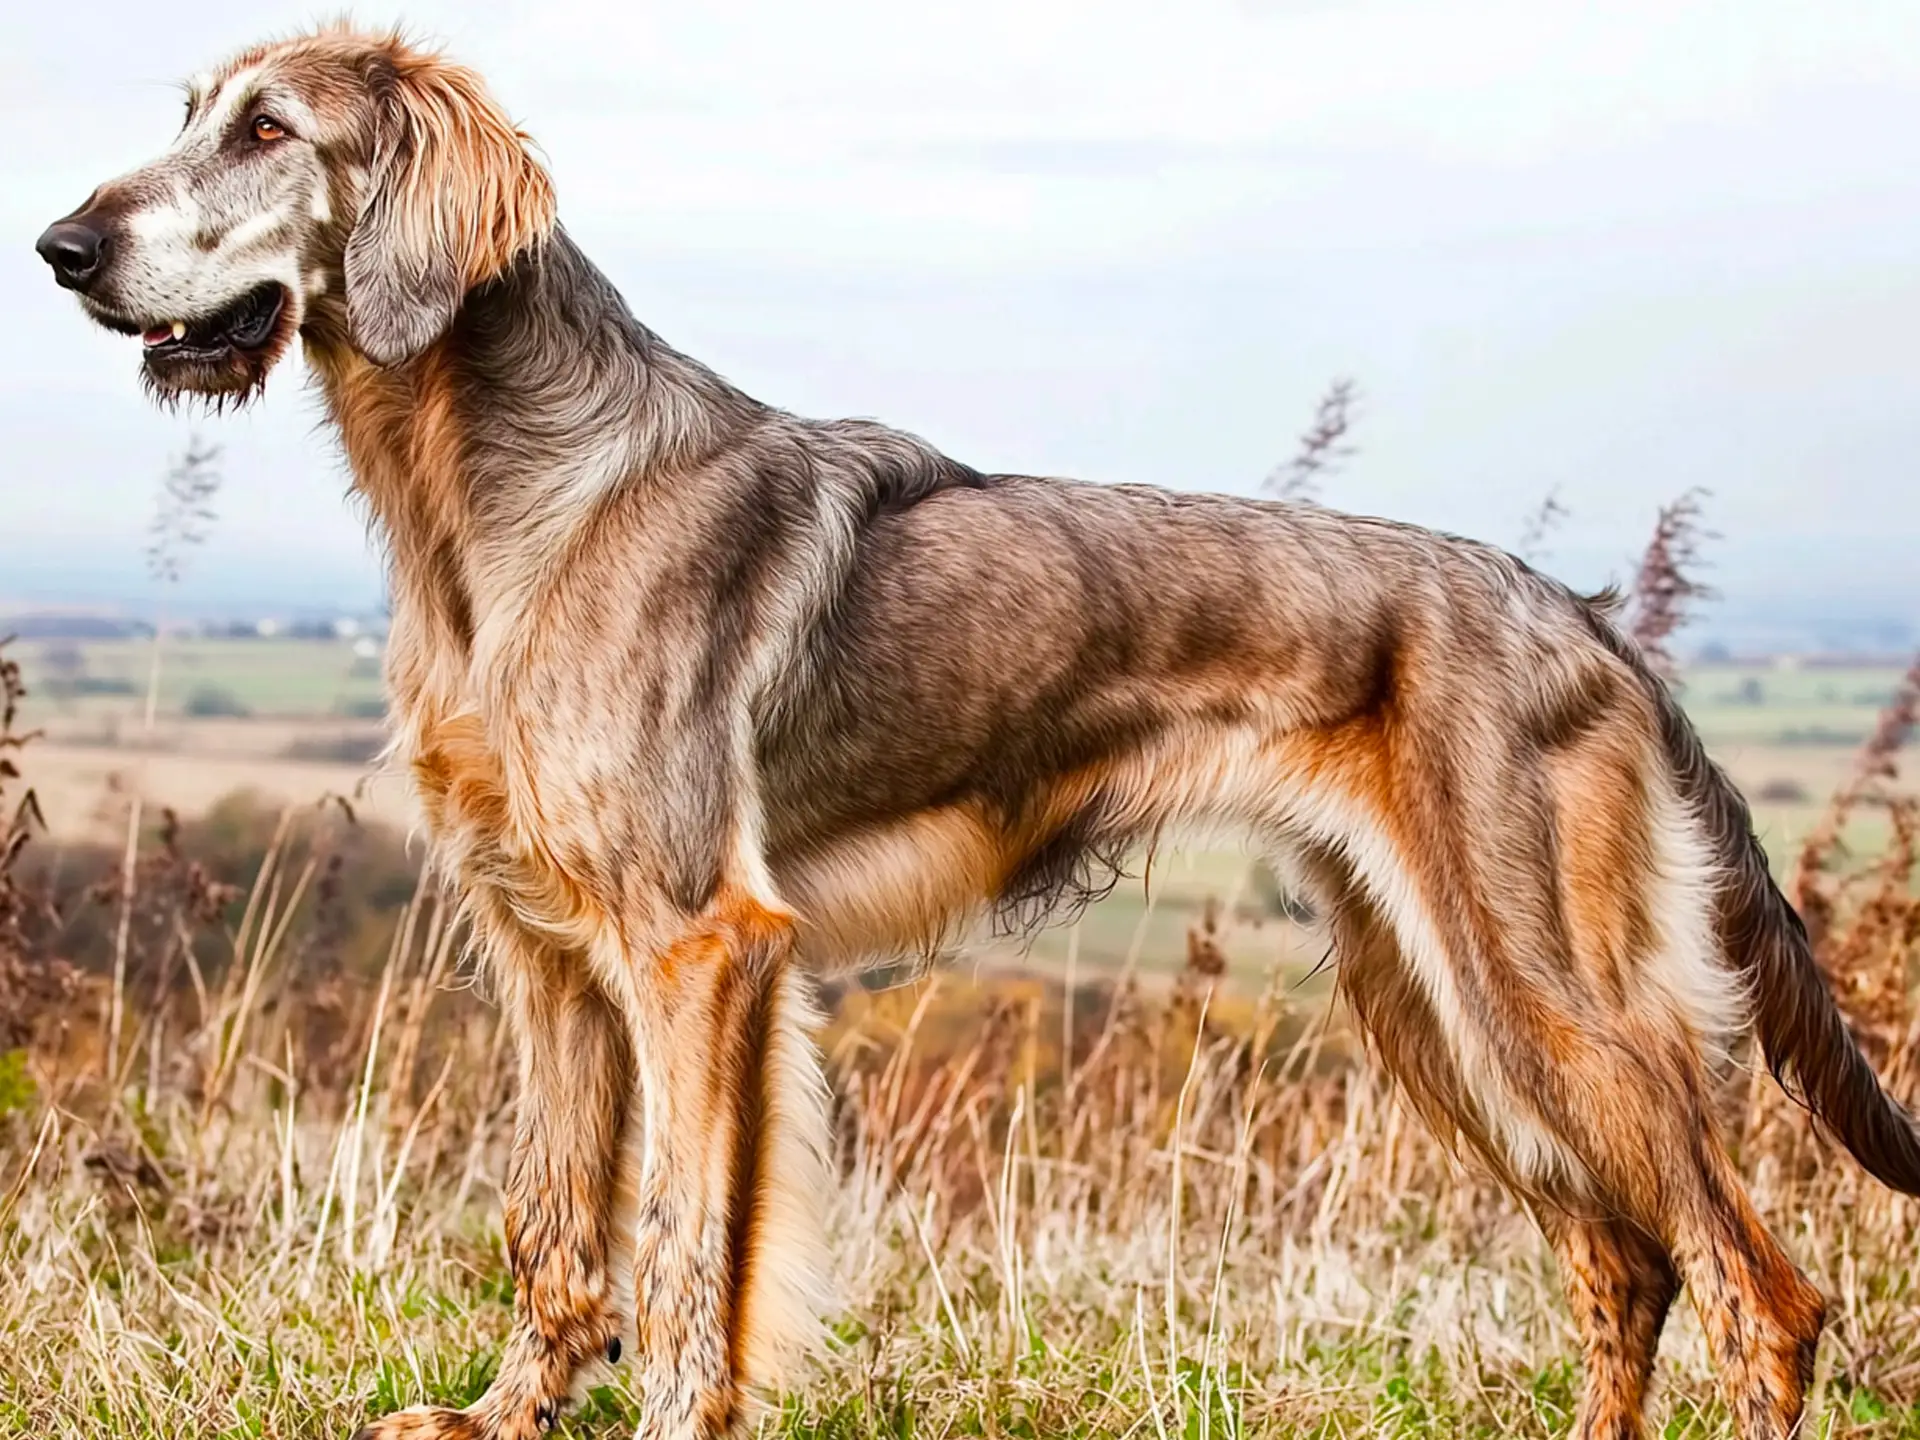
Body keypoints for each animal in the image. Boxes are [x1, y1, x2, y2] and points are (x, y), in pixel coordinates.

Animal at [37, 22, 1920, 1440]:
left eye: (267, 128)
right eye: (187, 112)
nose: (61, 250)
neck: (502, 508)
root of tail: (1587, 615)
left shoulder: (697, 946)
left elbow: (685, 1256)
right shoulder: (547, 951)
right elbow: (558, 1224)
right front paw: (504, 1418)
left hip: (1540, 997)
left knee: (1760, 1291)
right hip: (1428, 999)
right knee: (1628, 1267)